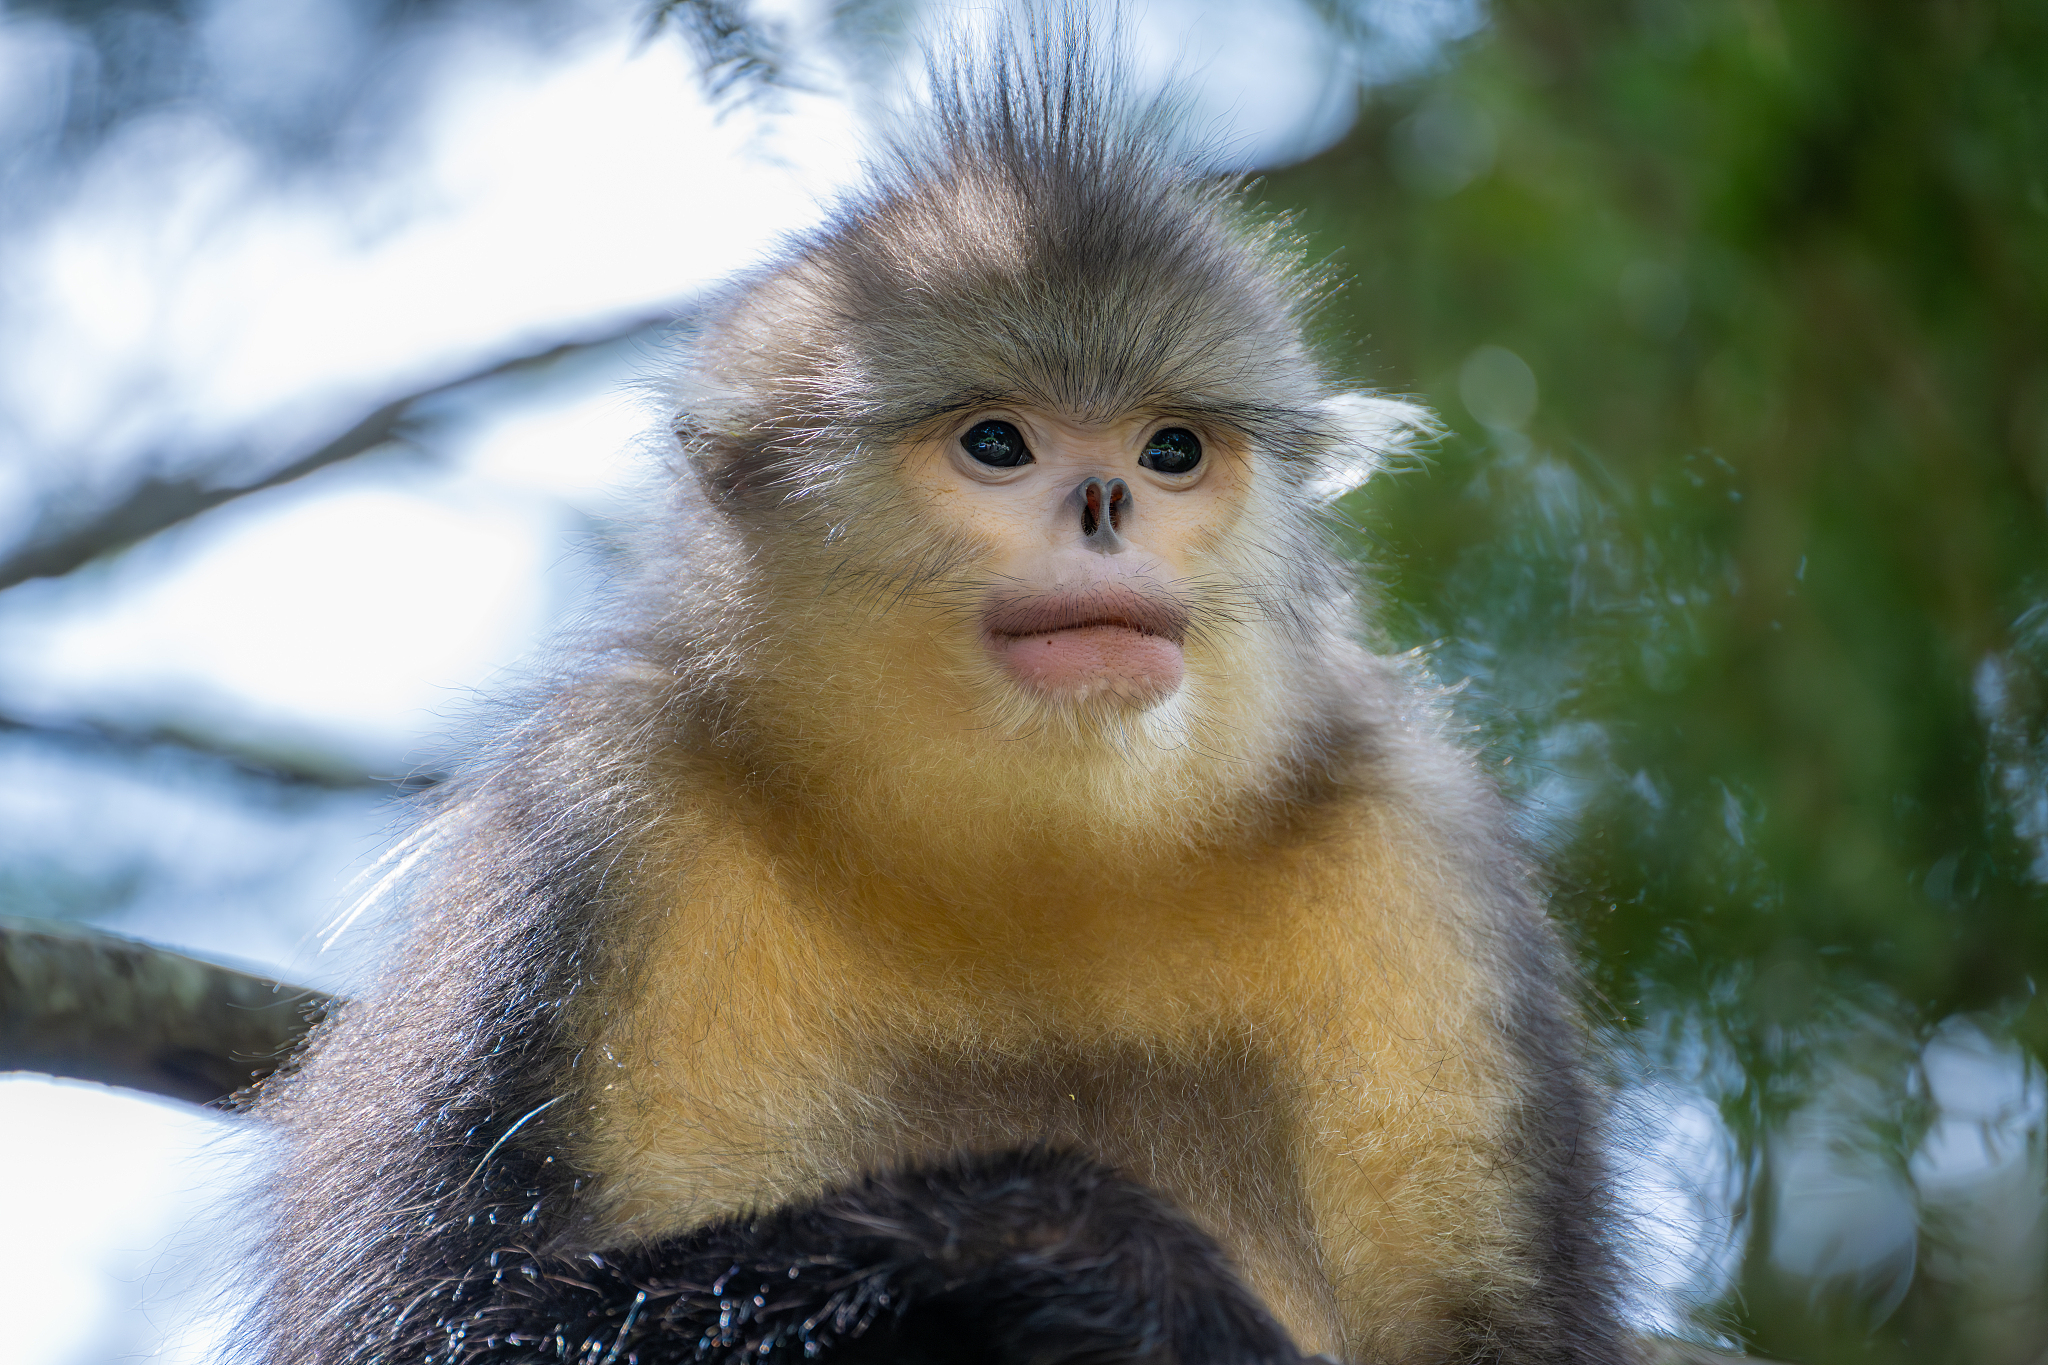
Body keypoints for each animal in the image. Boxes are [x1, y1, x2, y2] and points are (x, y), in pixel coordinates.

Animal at [239, 21, 1635, 1365]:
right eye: (996, 444)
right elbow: (435, 1314)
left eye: (1169, 451)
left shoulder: (1421, 852)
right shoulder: (593, 817)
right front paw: (1091, 1251)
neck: (1033, 873)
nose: (1104, 504)